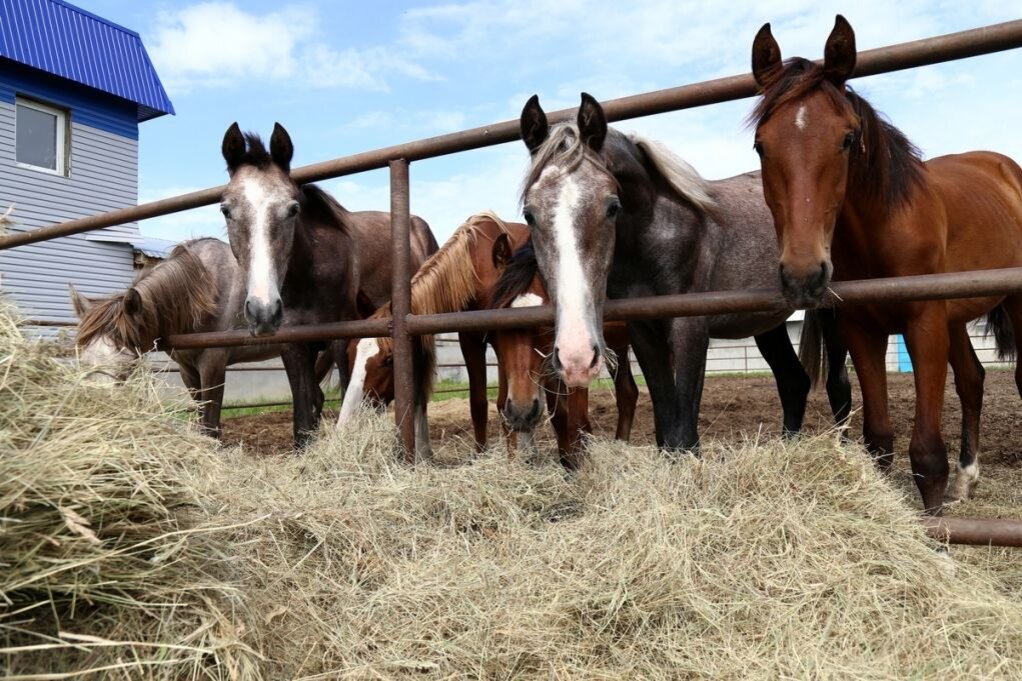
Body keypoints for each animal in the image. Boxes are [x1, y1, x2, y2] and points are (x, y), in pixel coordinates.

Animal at [219, 124, 435, 447]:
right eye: (226, 210)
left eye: (293, 209)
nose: (263, 312)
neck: (310, 275)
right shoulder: (294, 346)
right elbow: (303, 417)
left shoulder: (342, 340)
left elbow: (348, 395)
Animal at [337, 212, 531, 456]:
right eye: (350, 353)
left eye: (390, 359)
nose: (347, 425)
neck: (479, 271)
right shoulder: (469, 340)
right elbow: (478, 404)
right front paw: (480, 455)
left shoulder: (503, 340)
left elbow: (504, 403)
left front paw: (513, 457)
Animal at [488, 241, 637, 470]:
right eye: (496, 324)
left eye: (547, 324)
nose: (522, 412)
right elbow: (558, 416)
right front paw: (568, 464)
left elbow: (578, 420)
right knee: (628, 393)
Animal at [515, 89, 850, 449]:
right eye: (529, 214)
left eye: (612, 206)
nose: (575, 358)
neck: (659, 230)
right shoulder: (644, 332)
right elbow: (666, 428)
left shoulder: (690, 329)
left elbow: (684, 434)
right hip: (767, 324)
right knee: (793, 382)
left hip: (832, 311)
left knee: (838, 384)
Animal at [748, 14, 1021, 509]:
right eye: (761, 145)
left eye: (848, 138)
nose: (803, 275)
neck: (882, 233)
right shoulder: (863, 331)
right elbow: (879, 440)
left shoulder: (924, 325)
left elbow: (927, 456)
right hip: (956, 318)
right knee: (972, 380)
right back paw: (966, 479)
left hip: (1013, 301)